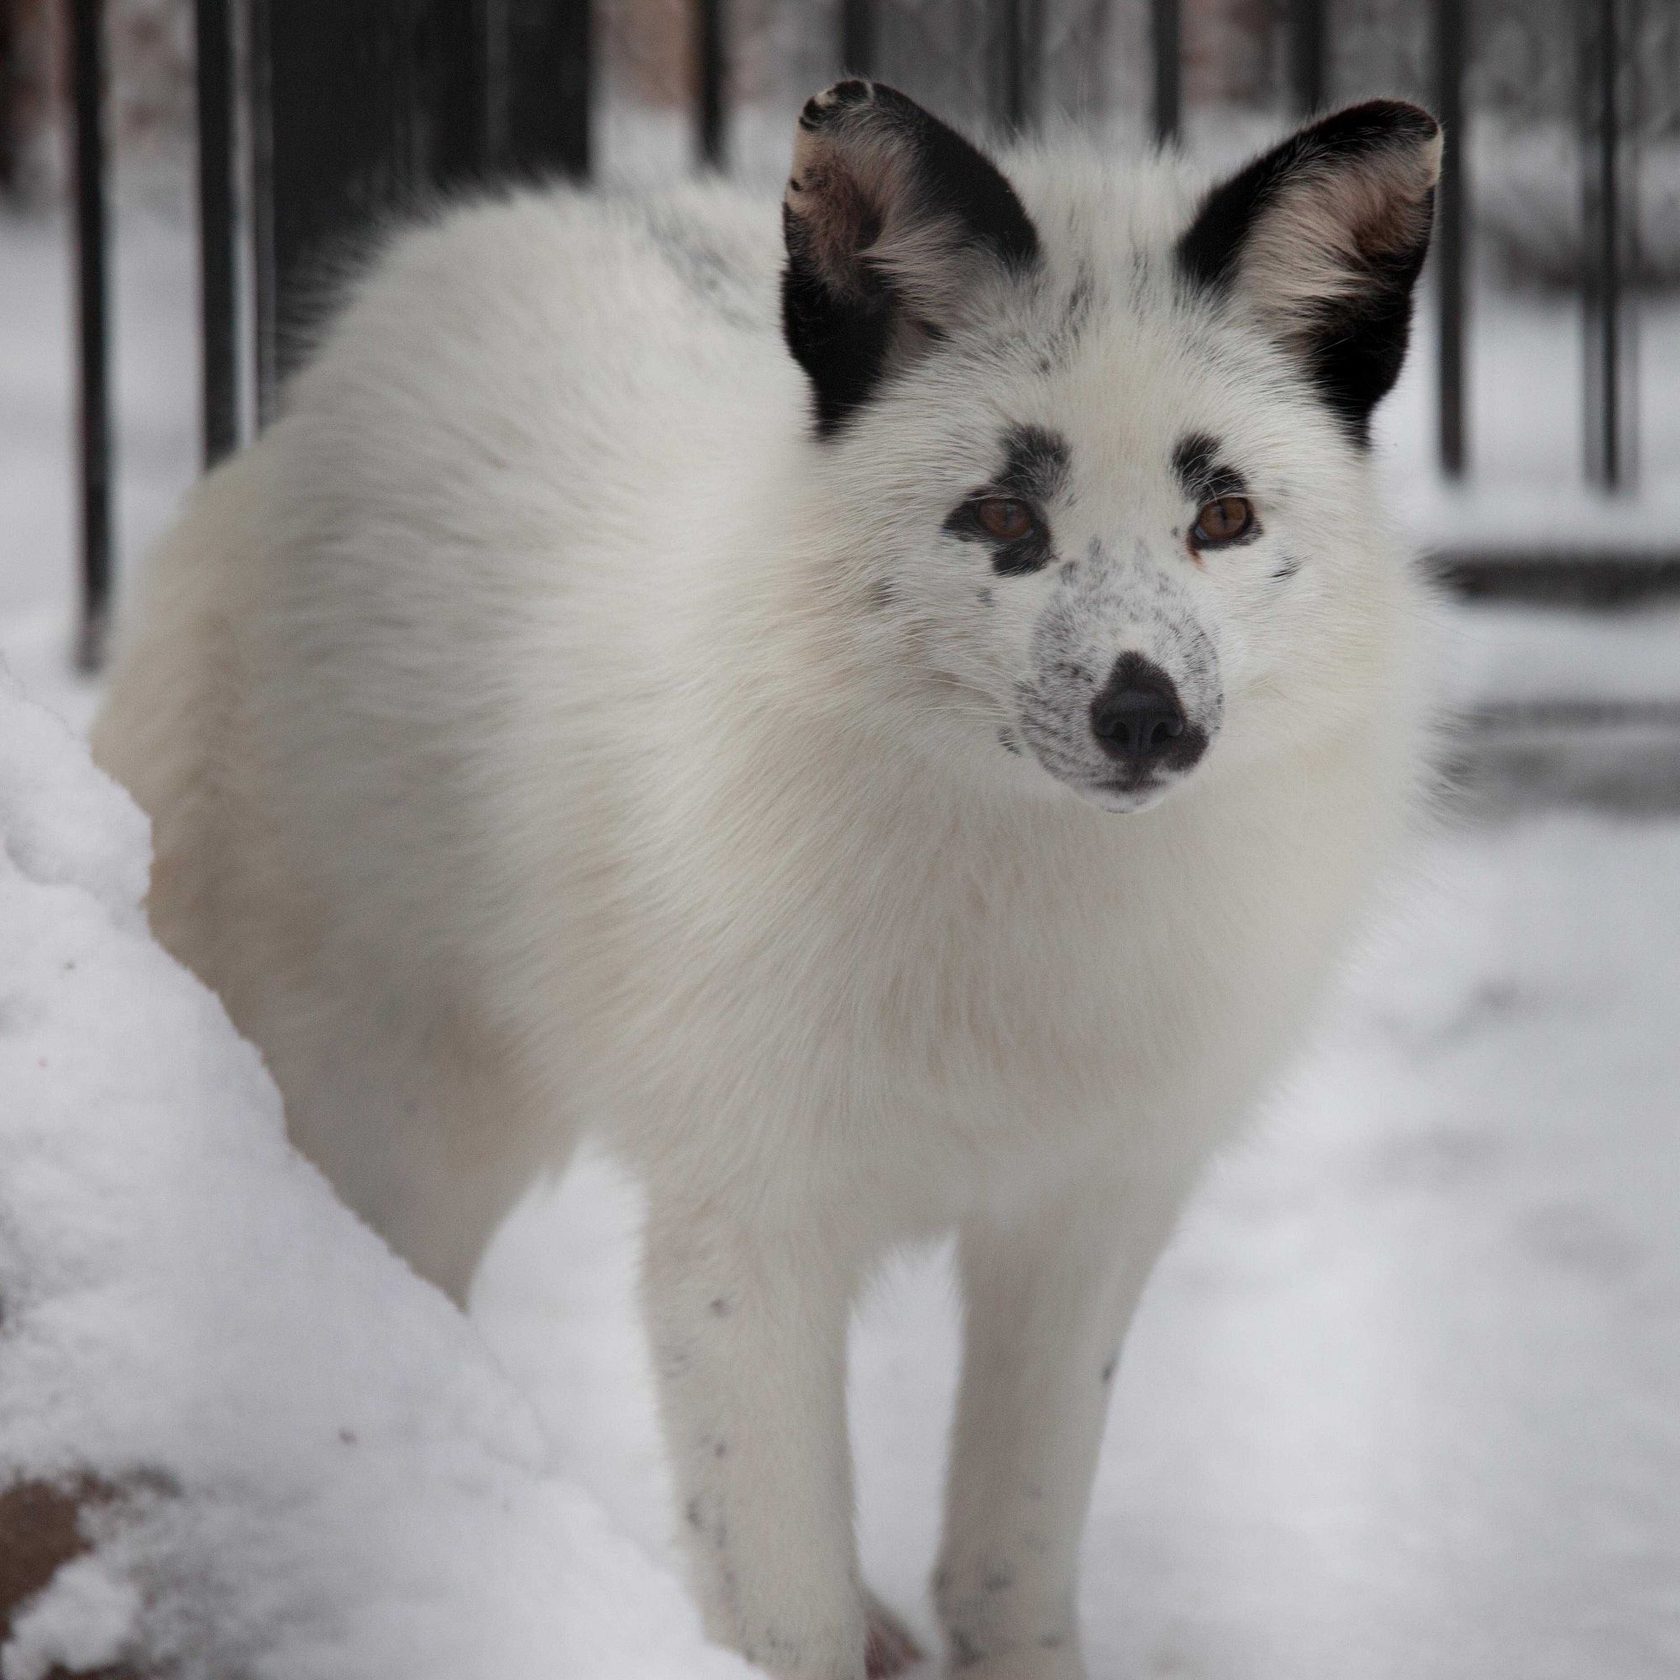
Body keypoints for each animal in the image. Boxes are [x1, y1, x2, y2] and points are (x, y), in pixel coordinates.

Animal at [91, 81, 1438, 1680]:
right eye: (1003, 519)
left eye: (1222, 517)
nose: (1147, 716)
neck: (1021, 939)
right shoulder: (742, 1228)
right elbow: (784, 1608)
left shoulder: (1085, 1217)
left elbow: (1012, 1565)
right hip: (390, 1112)